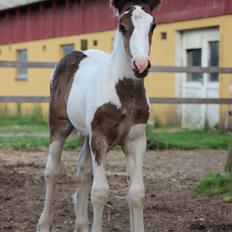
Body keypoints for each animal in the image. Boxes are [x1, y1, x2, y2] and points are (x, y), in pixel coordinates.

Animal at [37, 0, 160, 231]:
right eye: (122, 26)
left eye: (153, 25)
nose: (141, 65)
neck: (125, 92)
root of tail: (76, 53)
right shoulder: (100, 137)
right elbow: (100, 192)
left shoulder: (136, 139)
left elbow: (137, 192)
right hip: (60, 125)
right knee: (52, 170)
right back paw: (44, 223)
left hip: (88, 135)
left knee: (83, 169)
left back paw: (81, 224)